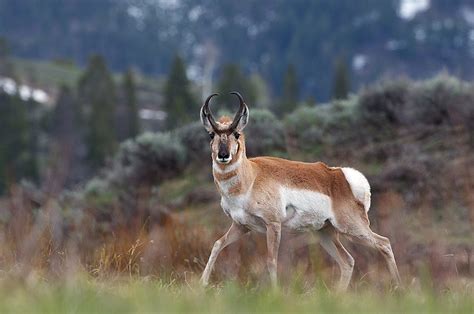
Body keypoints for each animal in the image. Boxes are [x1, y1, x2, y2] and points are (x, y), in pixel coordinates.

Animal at [198, 92, 402, 290]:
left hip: (352, 228)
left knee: (384, 243)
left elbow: (271, 261)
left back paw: (398, 288)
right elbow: (217, 245)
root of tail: (342, 176)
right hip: (326, 233)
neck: (251, 177)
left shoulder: (273, 224)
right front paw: (202, 284)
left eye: (236, 133)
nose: (223, 155)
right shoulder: (241, 226)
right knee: (348, 261)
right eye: (211, 135)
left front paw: (274, 292)